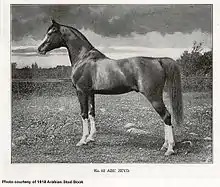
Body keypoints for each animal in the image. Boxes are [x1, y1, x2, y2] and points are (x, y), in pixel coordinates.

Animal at [38, 19, 183, 156]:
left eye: (50, 33)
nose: (40, 49)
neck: (83, 59)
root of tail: (158, 60)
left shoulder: (81, 92)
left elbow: (84, 114)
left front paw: (82, 140)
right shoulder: (91, 93)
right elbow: (92, 113)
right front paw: (91, 138)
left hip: (154, 97)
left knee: (166, 116)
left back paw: (169, 149)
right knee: (165, 118)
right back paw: (165, 145)